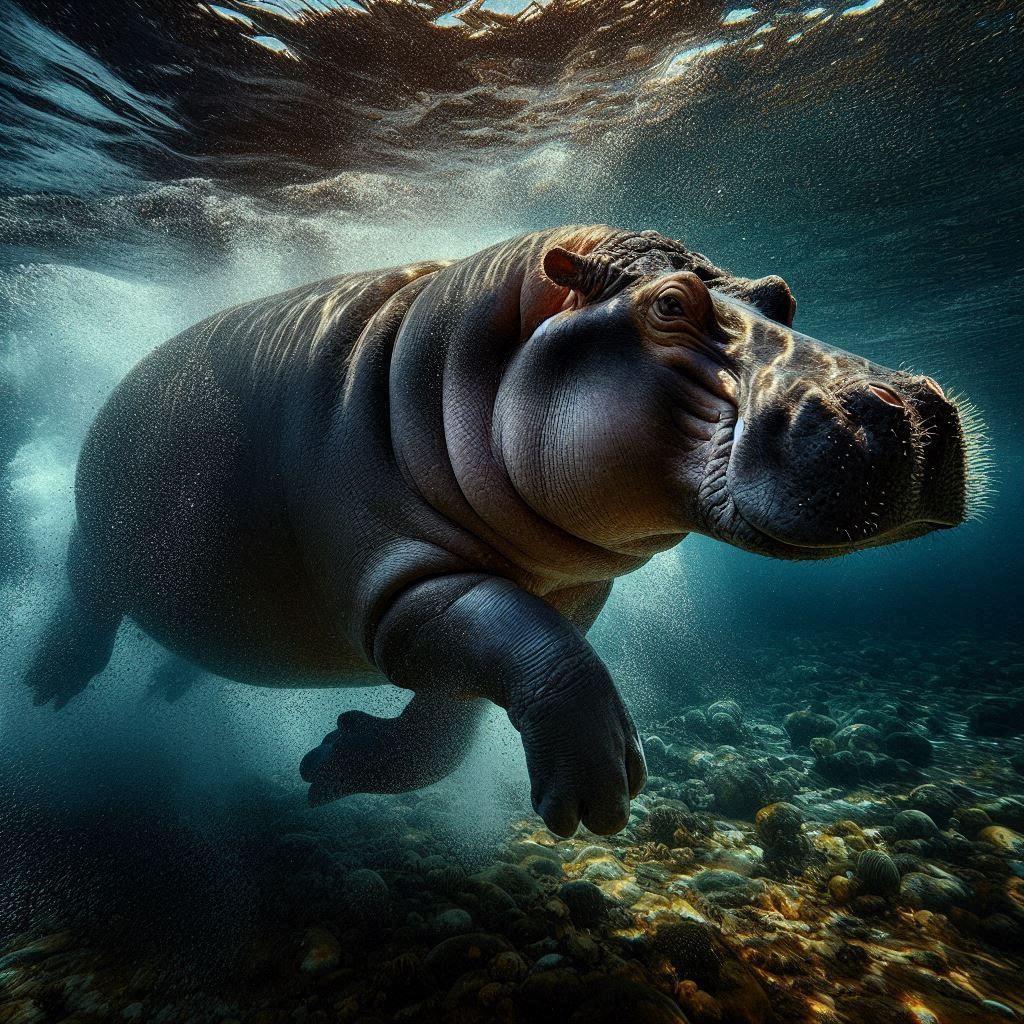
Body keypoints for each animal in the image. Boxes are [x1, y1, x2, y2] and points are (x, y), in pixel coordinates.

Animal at [23, 226, 976, 836]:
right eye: (670, 306)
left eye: (782, 294)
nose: (914, 407)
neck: (449, 369)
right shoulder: (408, 593)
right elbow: (543, 652)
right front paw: (602, 790)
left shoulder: (577, 591)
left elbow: (456, 719)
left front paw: (333, 766)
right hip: (97, 541)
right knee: (87, 599)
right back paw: (48, 686)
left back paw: (163, 686)